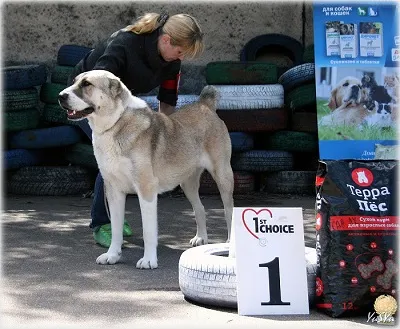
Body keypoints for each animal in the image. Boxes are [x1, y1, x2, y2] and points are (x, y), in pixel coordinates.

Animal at [57, 70, 236, 268]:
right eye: (74, 81)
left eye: (87, 84)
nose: (60, 96)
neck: (116, 123)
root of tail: (205, 105)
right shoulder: (113, 191)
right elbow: (116, 228)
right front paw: (112, 255)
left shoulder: (146, 190)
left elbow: (148, 231)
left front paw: (149, 260)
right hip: (187, 184)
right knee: (200, 208)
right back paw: (201, 238)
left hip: (223, 176)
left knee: (229, 210)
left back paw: (230, 244)